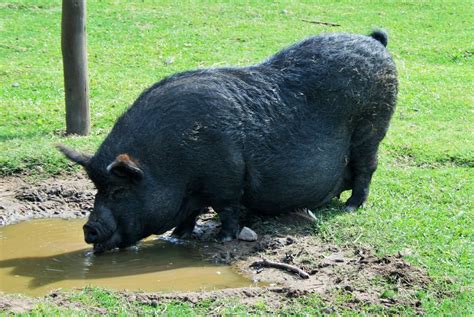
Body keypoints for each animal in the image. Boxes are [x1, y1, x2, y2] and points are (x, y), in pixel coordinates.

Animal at [61, 30, 398, 251]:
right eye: (97, 189)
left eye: (118, 191)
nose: (88, 229)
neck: (170, 164)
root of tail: (375, 41)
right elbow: (190, 214)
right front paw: (176, 236)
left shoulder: (226, 176)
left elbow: (226, 208)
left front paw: (223, 238)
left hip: (373, 126)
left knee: (367, 167)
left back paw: (352, 207)